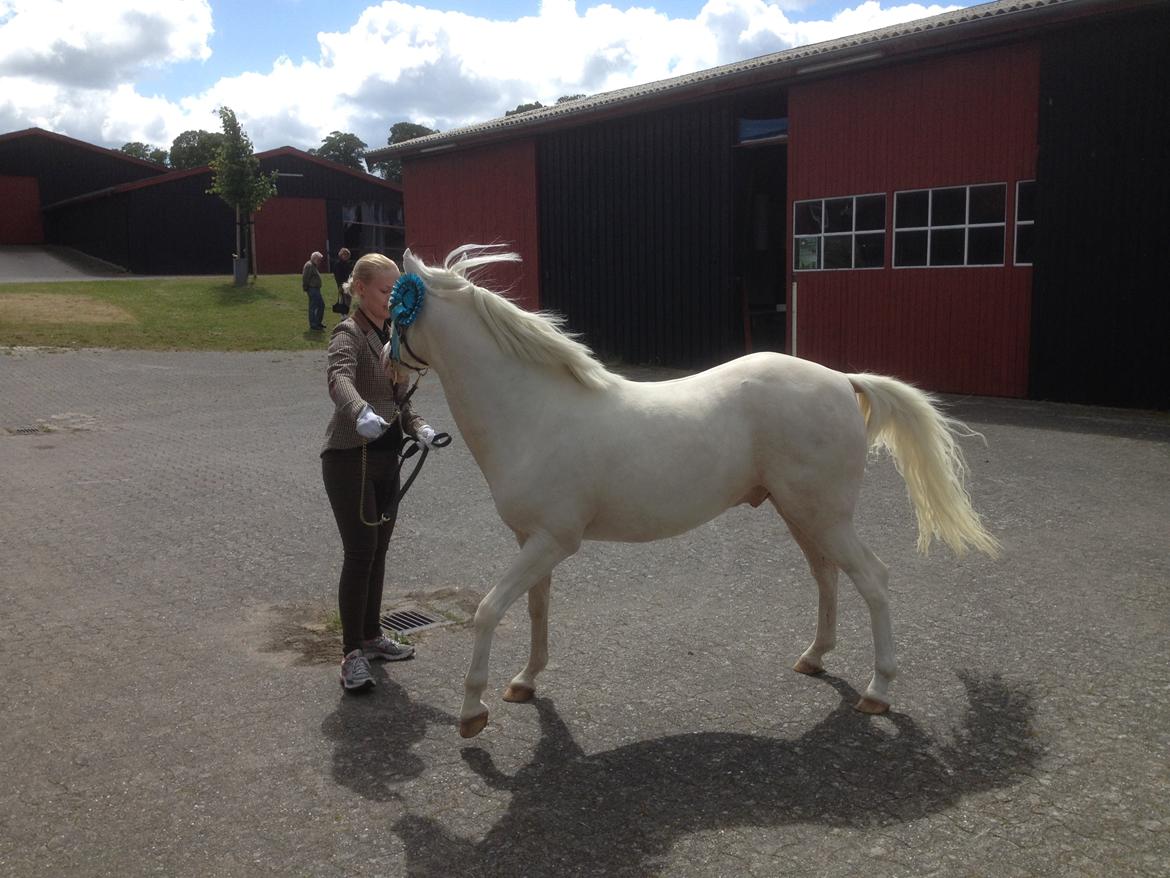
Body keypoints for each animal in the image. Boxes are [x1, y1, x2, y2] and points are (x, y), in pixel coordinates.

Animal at [389, 245, 1000, 739]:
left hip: (826, 516)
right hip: (801, 514)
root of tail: (841, 379)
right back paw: (814, 658)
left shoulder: (552, 541)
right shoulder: (532, 541)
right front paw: (525, 681)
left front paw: (473, 711)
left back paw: (878, 691)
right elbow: (537, 609)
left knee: (873, 579)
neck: (533, 412)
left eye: (397, 306)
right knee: (826, 576)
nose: (387, 368)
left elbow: (489, 610)